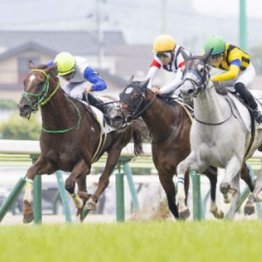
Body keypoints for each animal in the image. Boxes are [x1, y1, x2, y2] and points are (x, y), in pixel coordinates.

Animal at [18, 64, 145, 223]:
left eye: (41, 82)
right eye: (24, 82)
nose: (23, 107)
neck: (61, 124)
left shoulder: (84, 162)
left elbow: (69, 183)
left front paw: (80, 202)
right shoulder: (50, 163)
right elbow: (30, 173)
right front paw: (28, 212)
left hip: (116, 148)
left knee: (104, 179)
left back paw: (90, 201)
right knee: (83, 185)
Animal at [114, 79, 254, 220]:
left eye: (136, 96)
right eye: (120, 95)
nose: (118, 117)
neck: (169, 129)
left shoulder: (185, 168)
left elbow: (183, 197)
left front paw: (184, 211)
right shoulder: (163, 172)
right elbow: (171, 204)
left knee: (245, 174)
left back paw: (249, 204)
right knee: (213, 175)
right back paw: (216, 210)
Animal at [175, 52, 262, 219]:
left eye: (202, 70)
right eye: (183, 70)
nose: (186, 91)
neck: (212, 123)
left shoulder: (234, 160)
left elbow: (224, 186)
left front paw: (227, 197)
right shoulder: (201, 160)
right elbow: (181, 167)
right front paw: (183, 208)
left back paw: (251, 201)